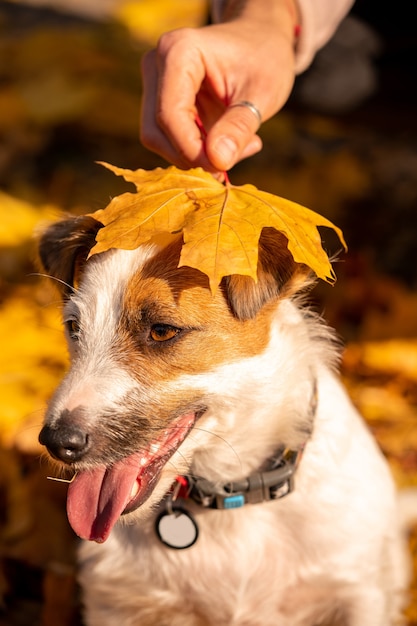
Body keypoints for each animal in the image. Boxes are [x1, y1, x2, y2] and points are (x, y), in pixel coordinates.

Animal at [37, 216, 408, 624]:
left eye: (162, 330)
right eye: (74, 327)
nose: (57, 441)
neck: (232, 493)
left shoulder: (358, 592)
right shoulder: (115, 602)